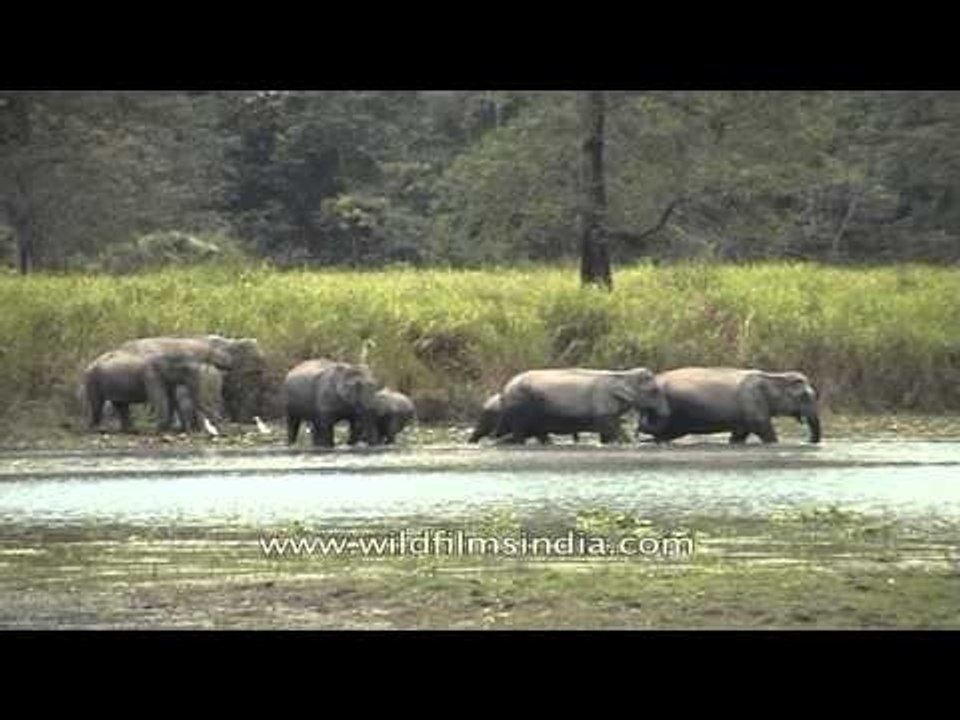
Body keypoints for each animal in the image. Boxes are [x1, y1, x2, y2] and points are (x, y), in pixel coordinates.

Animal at [83, 350, 221, 433]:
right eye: (185, 370)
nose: (215, 425)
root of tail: (89, 365)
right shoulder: (151, 376)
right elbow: (161, 400)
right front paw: (159, 429)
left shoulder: (165, 380)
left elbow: (172, 399)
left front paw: (172, 429)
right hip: (92, 379)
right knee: (97, 404)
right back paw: (97, 429)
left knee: (121, 405)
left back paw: (131, 430)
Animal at [494, 367, 670, 445]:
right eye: (654, 391)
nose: (666, 412)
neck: (623, 374)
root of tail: (504, 389)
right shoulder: (602, 405)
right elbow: (612, 428)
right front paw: (628, 442)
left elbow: (607, 433)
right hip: (518, 407)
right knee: (520, 431)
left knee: (539, 432)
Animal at [635, 367, 821, 444]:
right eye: (805, 396)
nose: (808, 441)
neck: (772, 376)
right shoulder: (753, 403)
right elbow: (765, 430)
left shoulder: (744, 418)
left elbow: (738, 435)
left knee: (661, 434)